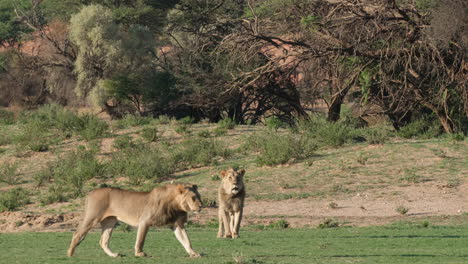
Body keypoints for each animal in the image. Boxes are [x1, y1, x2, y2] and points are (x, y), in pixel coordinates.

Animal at [66, 184, 202, 258]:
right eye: (193, 198)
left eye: (199, 196)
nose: (201, 206)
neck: (175, 205)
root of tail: (91, 192)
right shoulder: (145, 221)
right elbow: (140, 240)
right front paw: (139, 253)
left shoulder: (177, 225)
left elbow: (186, 241)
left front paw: (194, 253)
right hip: (93, 217)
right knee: (77, 234)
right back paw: (70, 254)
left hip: (110, 221)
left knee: (103, 241)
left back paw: (114, 255)